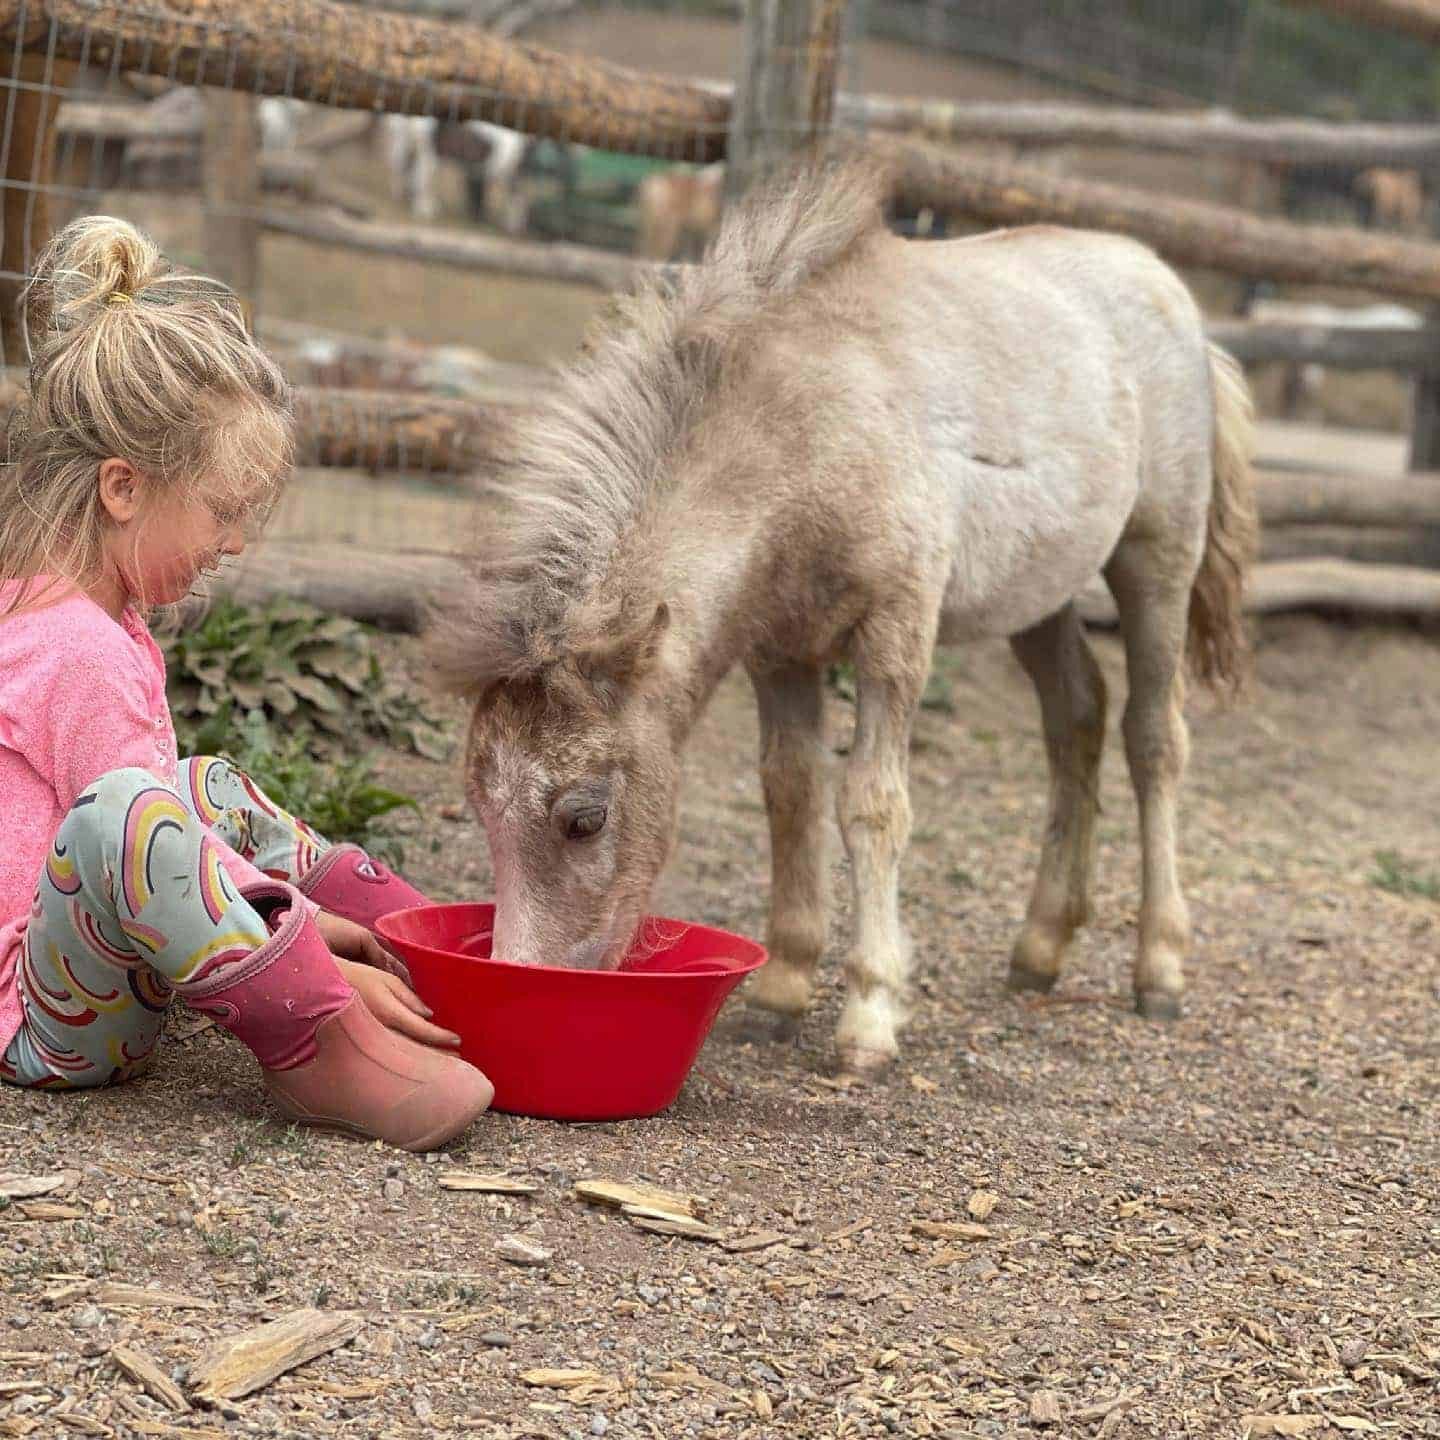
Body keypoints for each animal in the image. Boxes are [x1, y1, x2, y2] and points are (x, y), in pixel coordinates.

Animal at [430, 162, 1258, 1074]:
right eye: (480, 813)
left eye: (584, 819)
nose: (523, 975)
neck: (809, 431)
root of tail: (1169, 288)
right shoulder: (780, 650)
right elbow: (792, 791)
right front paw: (782, 989)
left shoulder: (896, 632)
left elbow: (871, 803)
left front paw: (869, 1013)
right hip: (1040, 593)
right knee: (1076, 717)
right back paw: (1041, 946)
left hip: (1157, 560)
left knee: (1154, 739)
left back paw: (1159, 967)